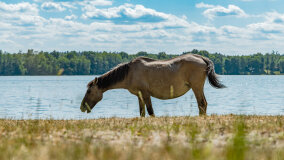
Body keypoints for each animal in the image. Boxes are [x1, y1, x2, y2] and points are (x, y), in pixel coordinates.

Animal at [80, 53, 226, 117]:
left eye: (89, 91)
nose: (82, 107)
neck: (129, 73)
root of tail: (201, 58)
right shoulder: (139, 96)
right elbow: (142, 113)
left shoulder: (145, 94)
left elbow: (151, 112)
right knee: (203, 104)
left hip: (197, 87)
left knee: (202, 104)